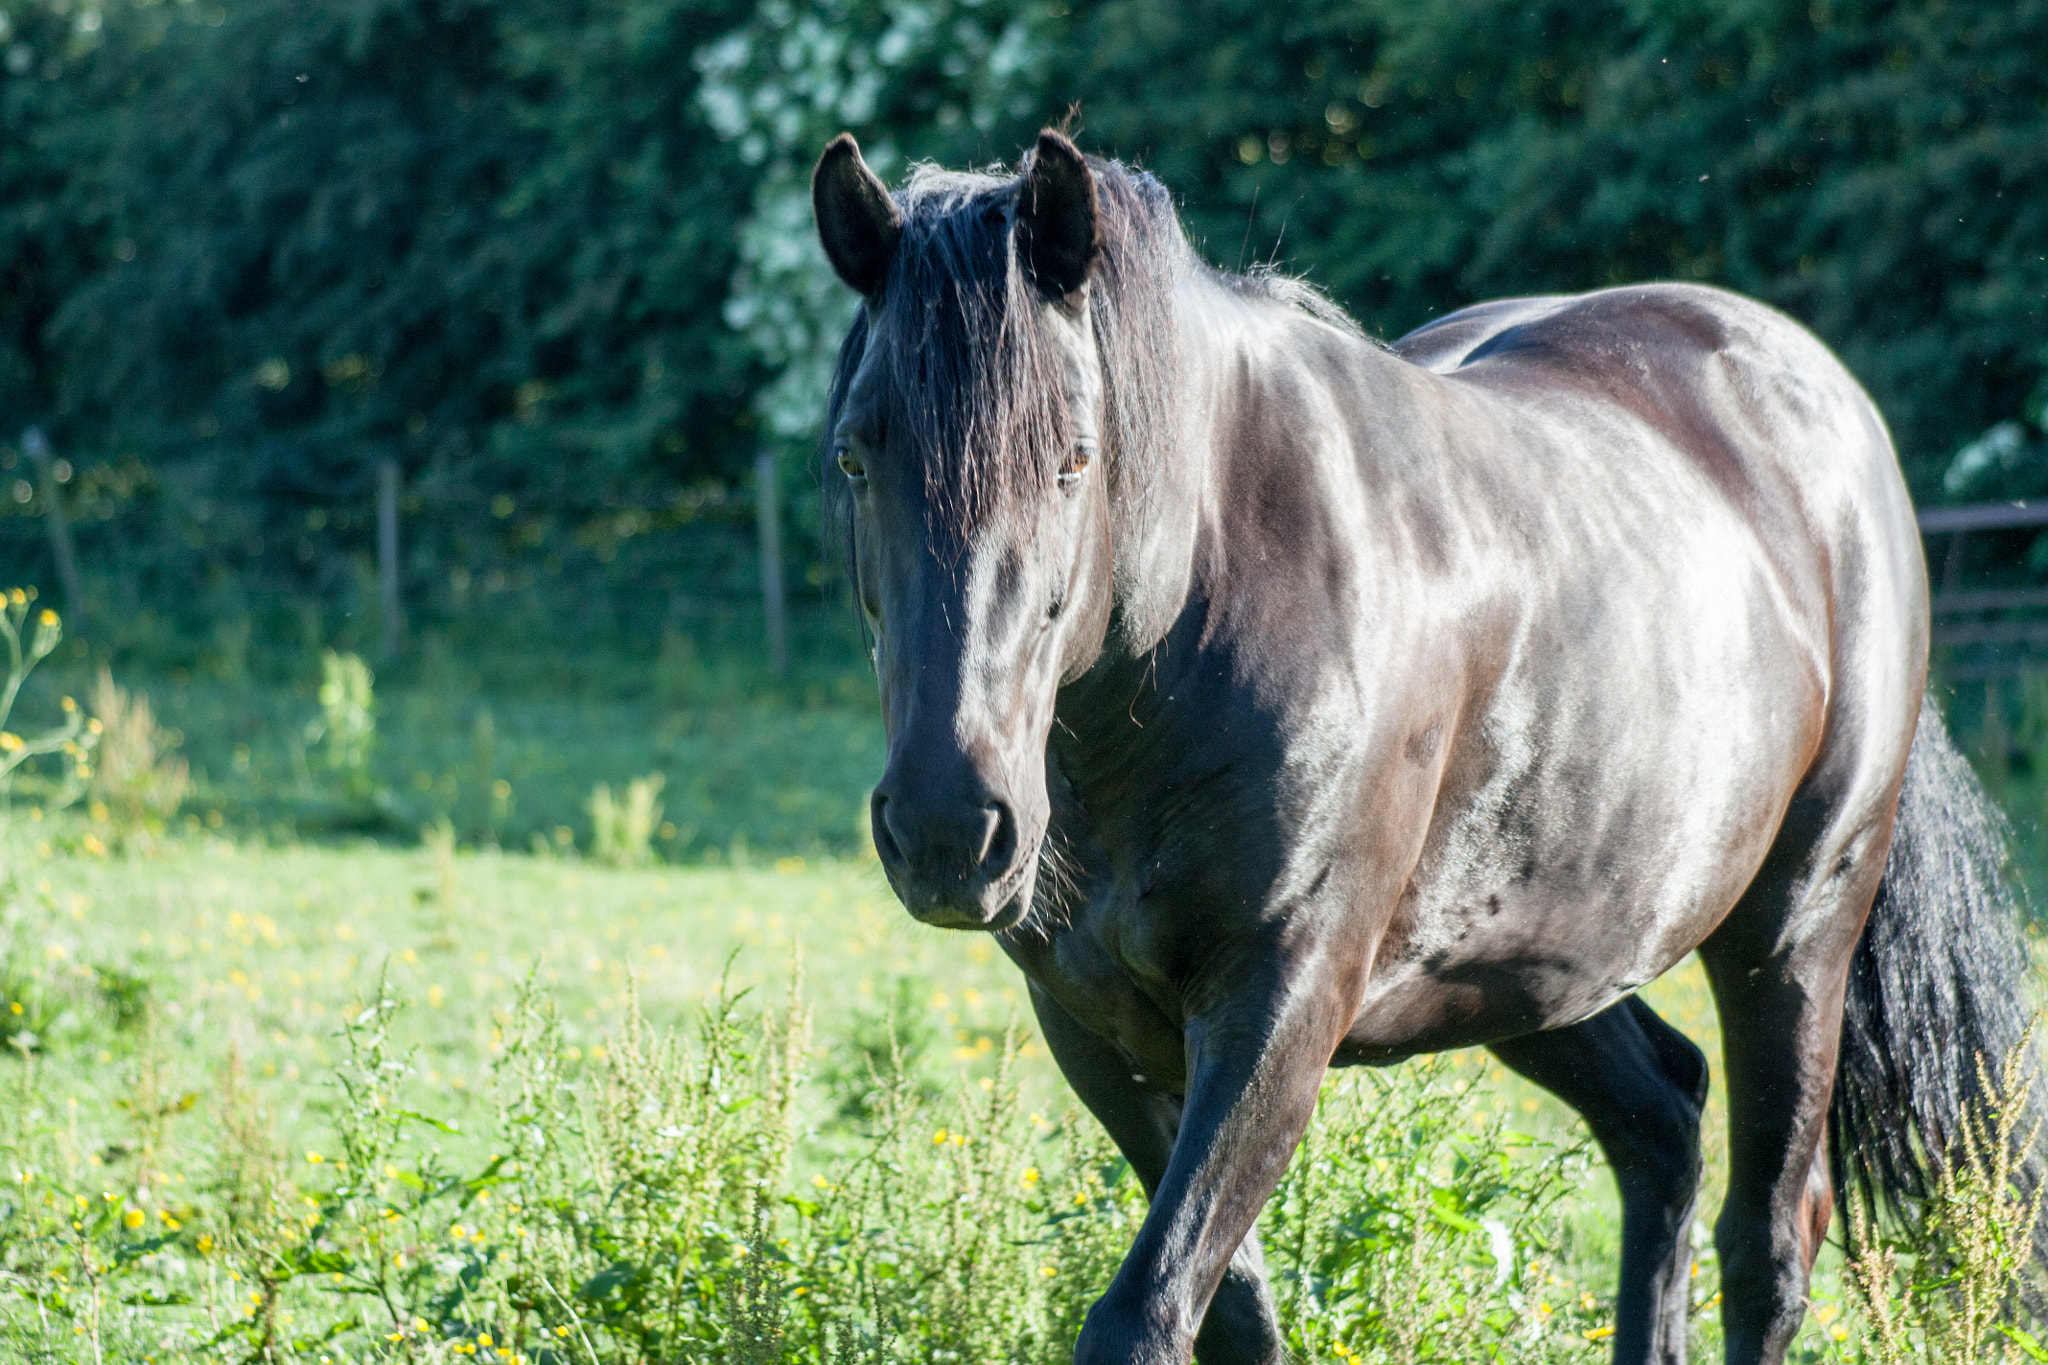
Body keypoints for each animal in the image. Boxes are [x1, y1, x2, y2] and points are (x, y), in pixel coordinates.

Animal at [806, 133, 2039, 1365]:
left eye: (1071, 458)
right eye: (856, 458)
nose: (947, 829)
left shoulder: (1278, 1008)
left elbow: (1143, 1317)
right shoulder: (1093, 1029)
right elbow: (1234, 1314)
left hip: (1792, 931)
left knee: (1769, 1240)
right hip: (1532, 965)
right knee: (1661, 1120)